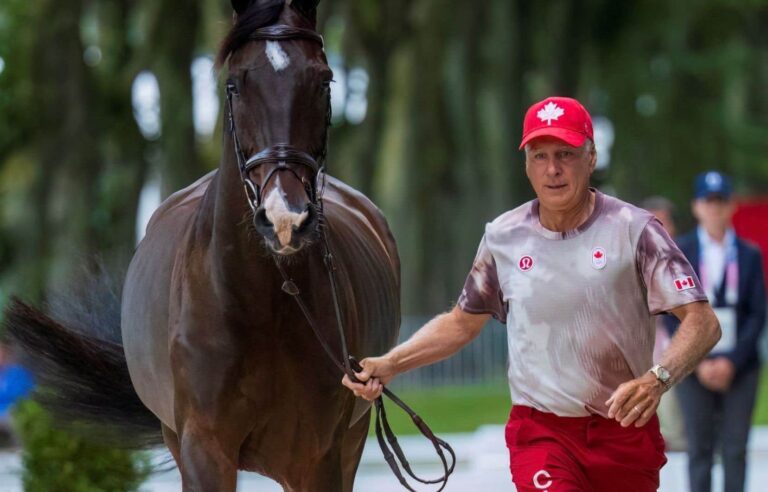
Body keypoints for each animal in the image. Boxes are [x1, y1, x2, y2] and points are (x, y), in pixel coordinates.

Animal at [4, 1, 402, 490]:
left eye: (324, 79)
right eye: (235, 83)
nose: (285, 220)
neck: (263, 302)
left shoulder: (318, 454)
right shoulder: (203, 448)